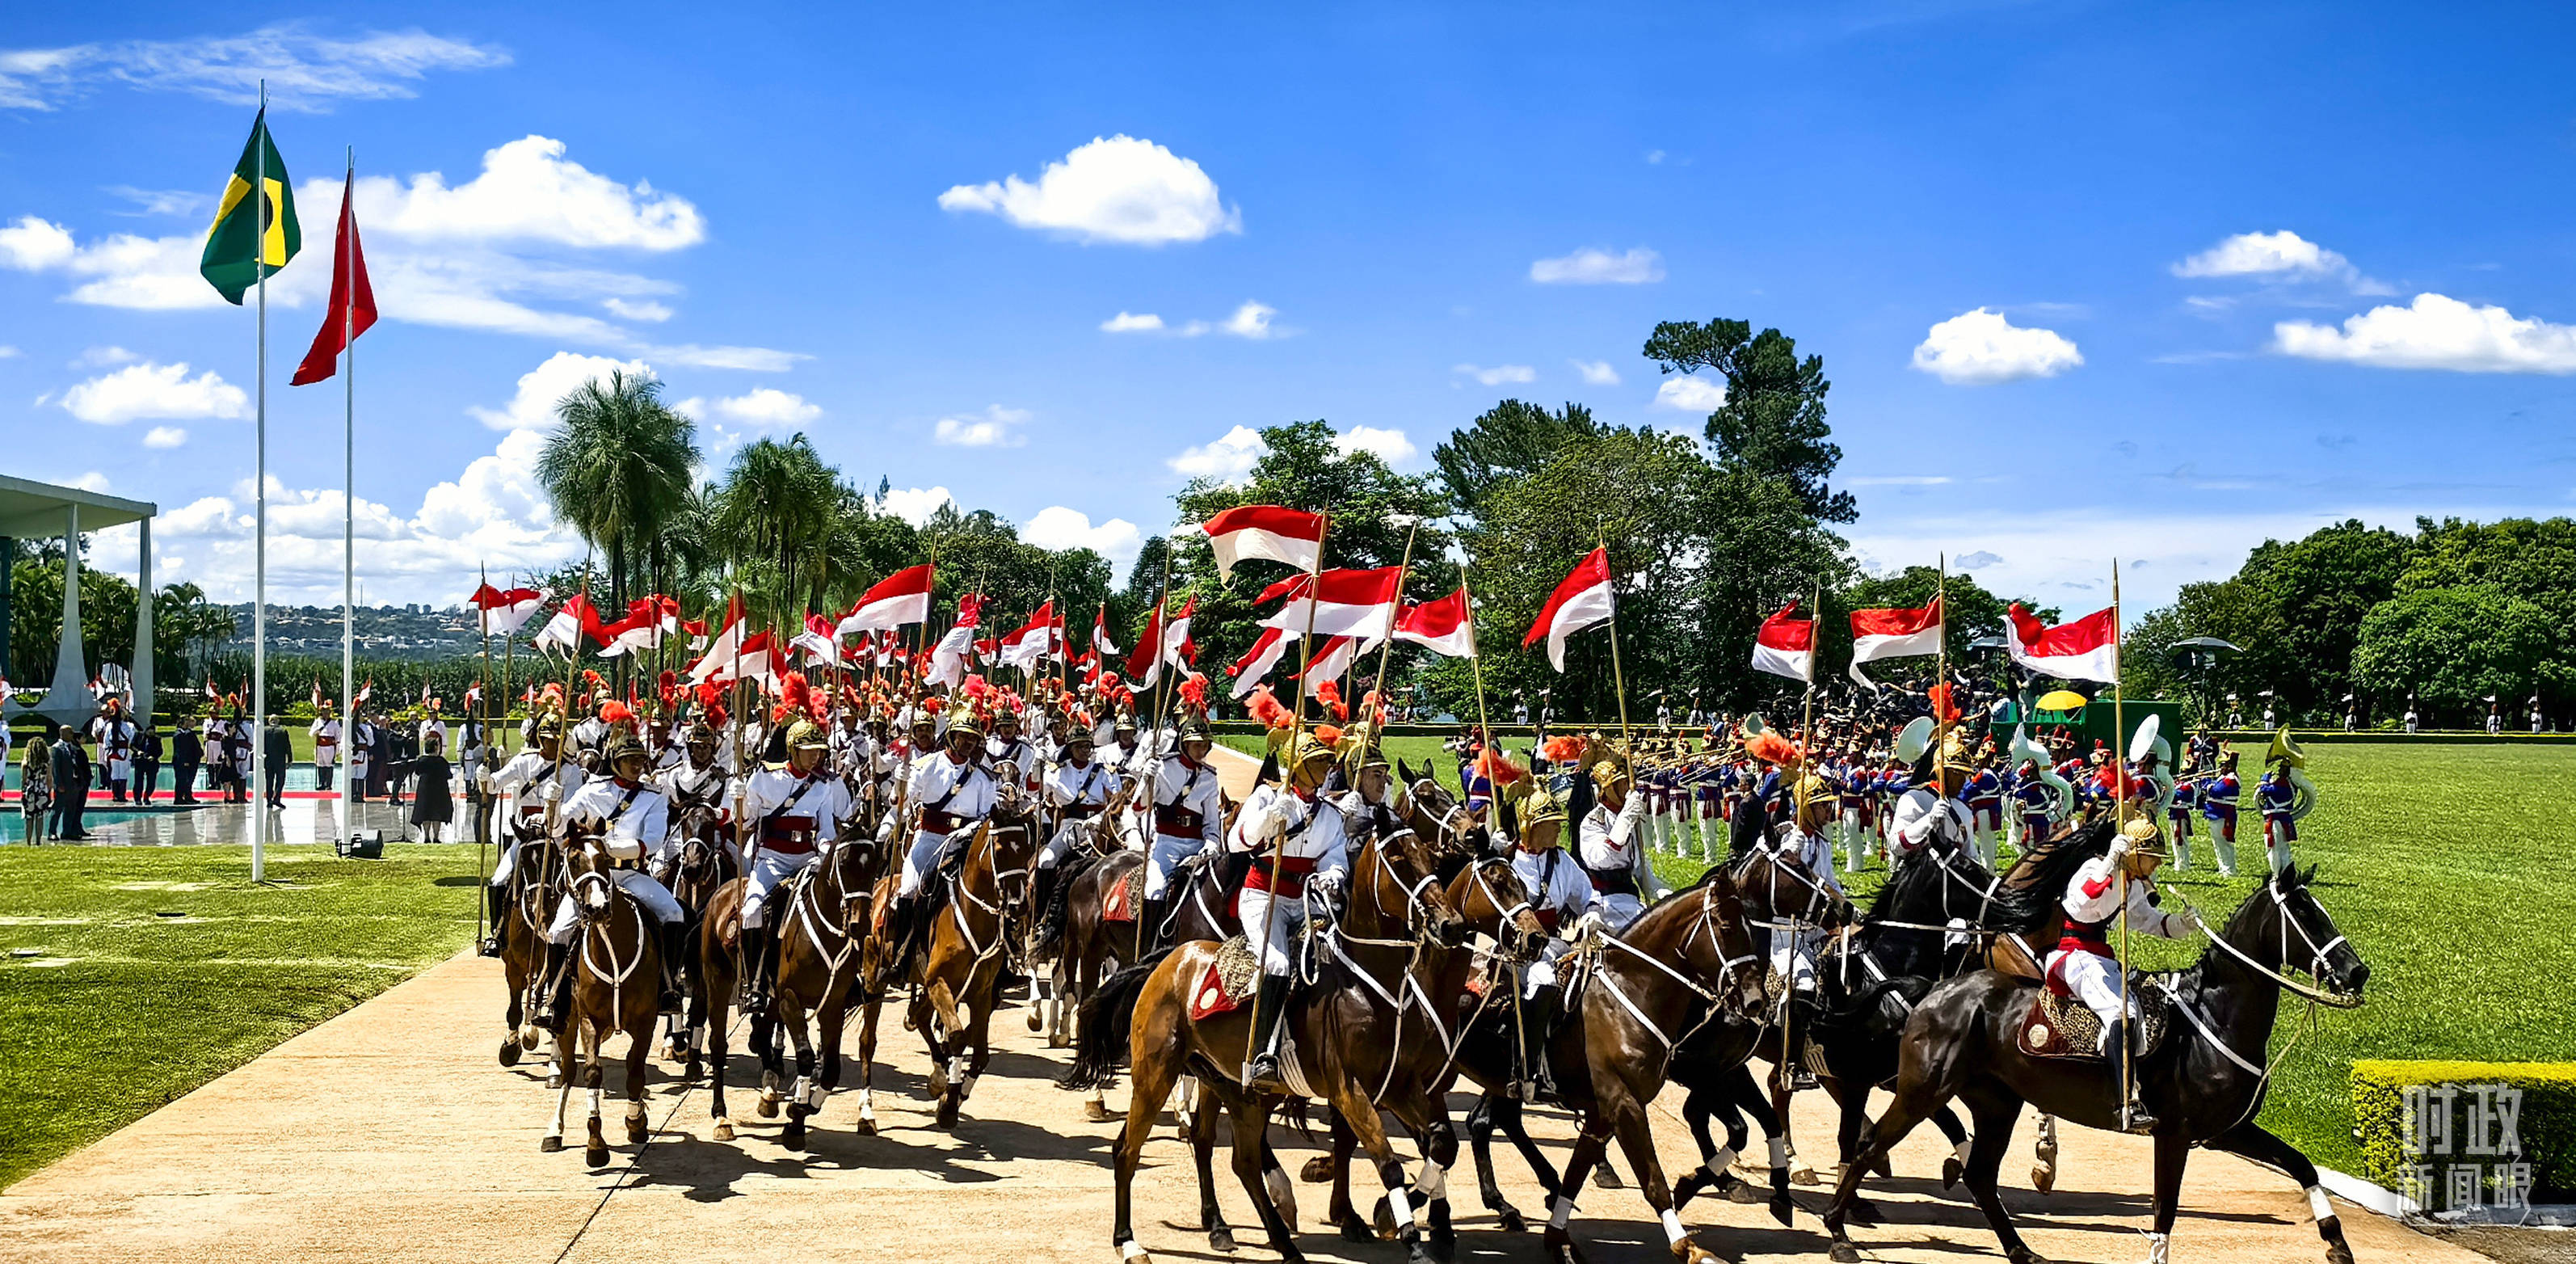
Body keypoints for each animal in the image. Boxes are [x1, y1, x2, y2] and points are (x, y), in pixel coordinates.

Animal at [541, 844, 664, 1173]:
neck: (612, 951)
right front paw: (595, 1145)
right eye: (573, 861)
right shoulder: (589, 1021)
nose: (596, 907)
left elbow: (635, 1069)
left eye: (605, 859)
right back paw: (554, 1131)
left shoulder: (646, 1022)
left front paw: (636, 1120)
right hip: (568, 1025)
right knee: (568, 1074)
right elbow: (592, 1073)